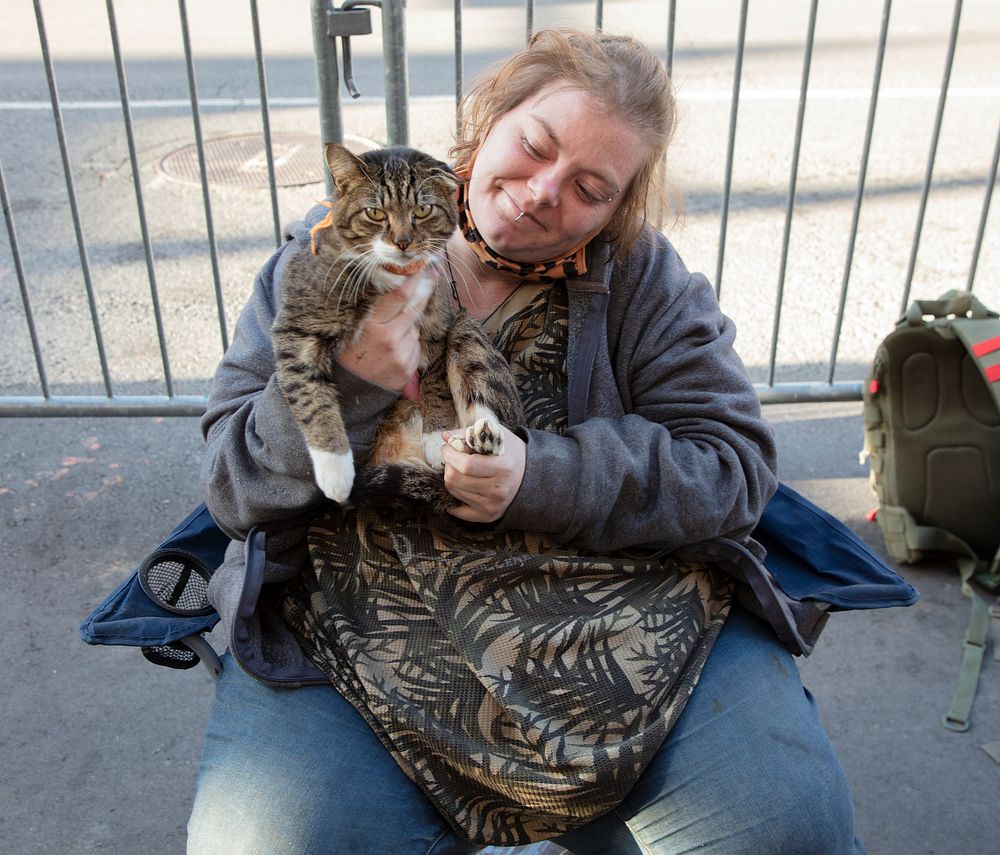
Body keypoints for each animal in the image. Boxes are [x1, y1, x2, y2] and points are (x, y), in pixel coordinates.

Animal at [274, 145, 524, 512]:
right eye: (375, 213)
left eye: (422, 209)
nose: (403, 241)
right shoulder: (296, 329)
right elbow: (310, 397)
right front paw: (335, 471)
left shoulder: (437, 326)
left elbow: (436, 382)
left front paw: (435, 437)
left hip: (466, 330)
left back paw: (478, 438)